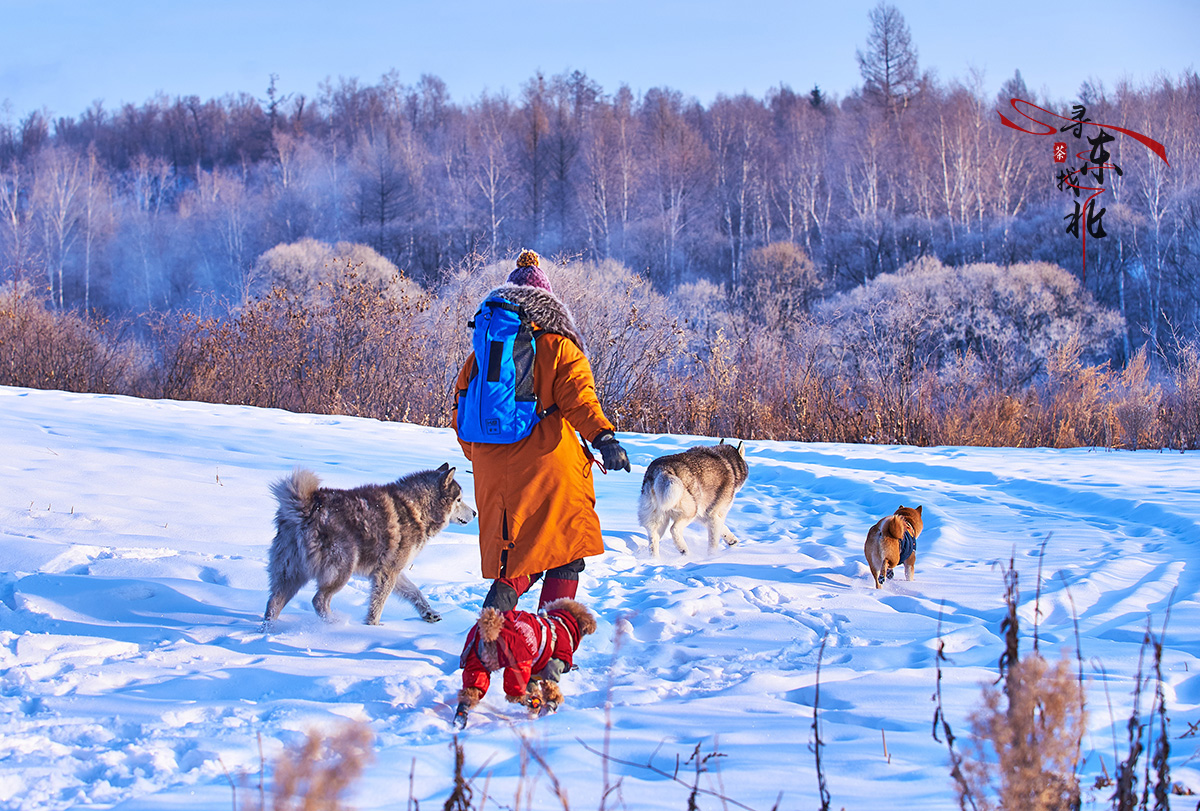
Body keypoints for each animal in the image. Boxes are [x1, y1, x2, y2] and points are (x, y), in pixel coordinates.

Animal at [261, 463, 472, 628]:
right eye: (459, 500)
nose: (475, 513)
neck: (417, 508)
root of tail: (309, 508)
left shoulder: (391, 570)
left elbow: (414, 591)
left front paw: (429, 612)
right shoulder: (387, 572)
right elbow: (377, 604)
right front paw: (373, 627)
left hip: (290, 575)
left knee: (273, 603)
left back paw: (267, 632)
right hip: (341, 569)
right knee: (318, 600)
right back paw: (335, 623)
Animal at [451, 595, 597, 729]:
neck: (563, 624)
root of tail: (492, 630)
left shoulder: (533, 674)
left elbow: (534, 687)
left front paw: (539, 706)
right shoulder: (552, 668)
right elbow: (551, 689)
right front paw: (551, 704)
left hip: (475, 661)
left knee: (470, 691)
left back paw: (460, 717)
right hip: (518, 664)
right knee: (512, 695)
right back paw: (532, 701)